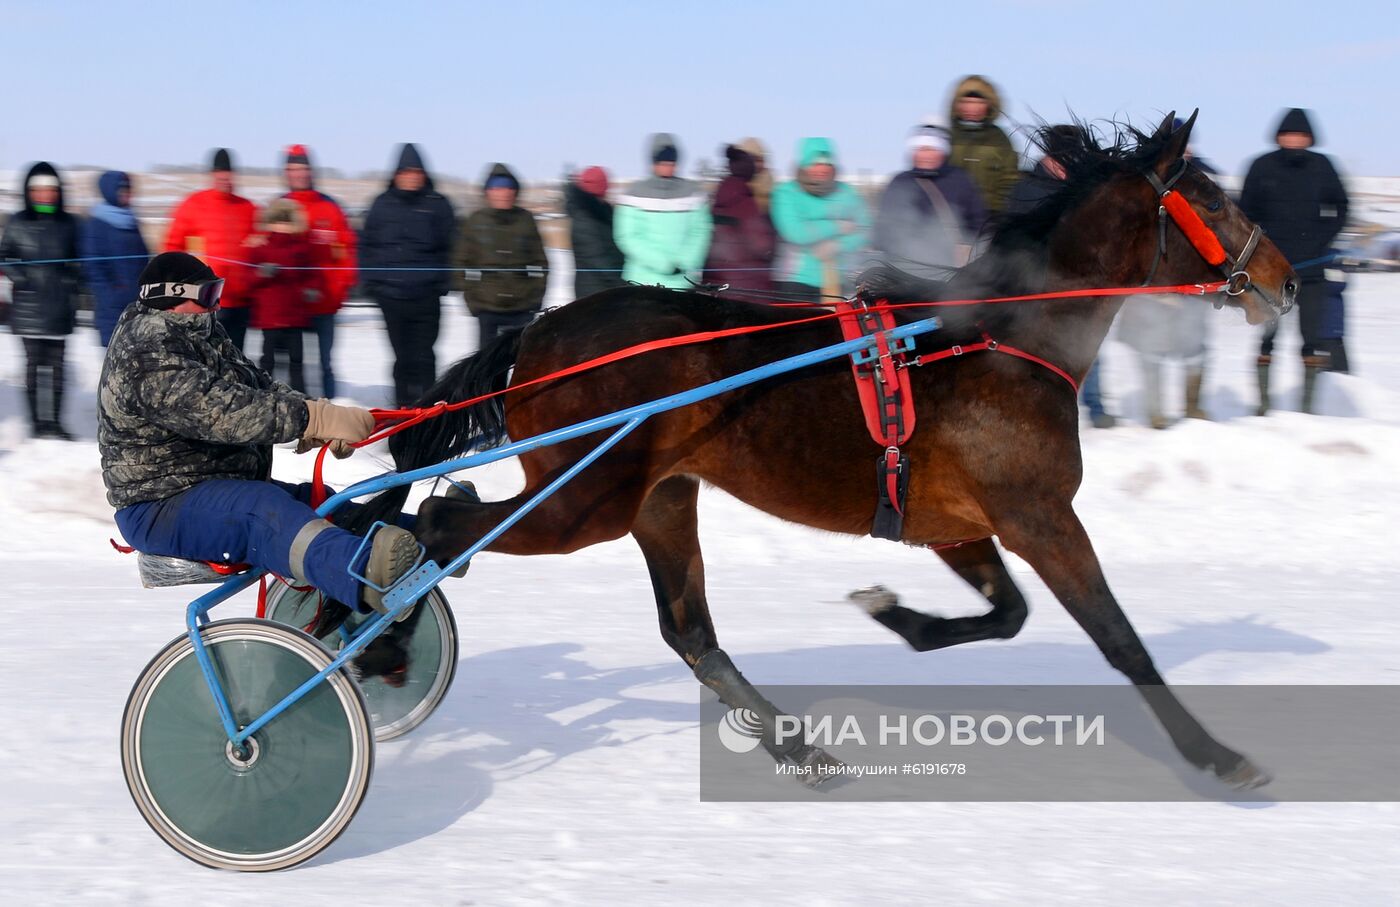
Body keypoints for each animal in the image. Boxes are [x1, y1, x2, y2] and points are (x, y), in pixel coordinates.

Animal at [366, 113, 1293, 789]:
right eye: (1212, 200)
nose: (1284, 281)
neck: (997, 341)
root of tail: (540, 330)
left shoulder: (954, 521)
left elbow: (1008, 614)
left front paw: (895, 613)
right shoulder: (1039, 514)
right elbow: (1120, 639)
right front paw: (1218, 755)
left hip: (660, 497)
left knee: (687, 630)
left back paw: (799, 747)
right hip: (582, 500)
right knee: (441, 522)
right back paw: (382, 640)